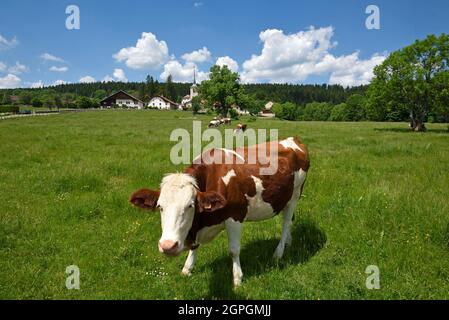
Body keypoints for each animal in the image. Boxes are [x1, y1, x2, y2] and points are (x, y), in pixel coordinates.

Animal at [130, 136, 308, 286]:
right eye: (160, 207)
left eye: (190, 205)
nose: (168, 246)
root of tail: (293, 139)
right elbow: (195, 246)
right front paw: (188, 268)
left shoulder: (235, 217)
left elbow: (234, 250)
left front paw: (237, 279)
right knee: (289, 220)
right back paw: (288, 242)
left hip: (296, 194)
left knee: (286, 223)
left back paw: (278, 252)